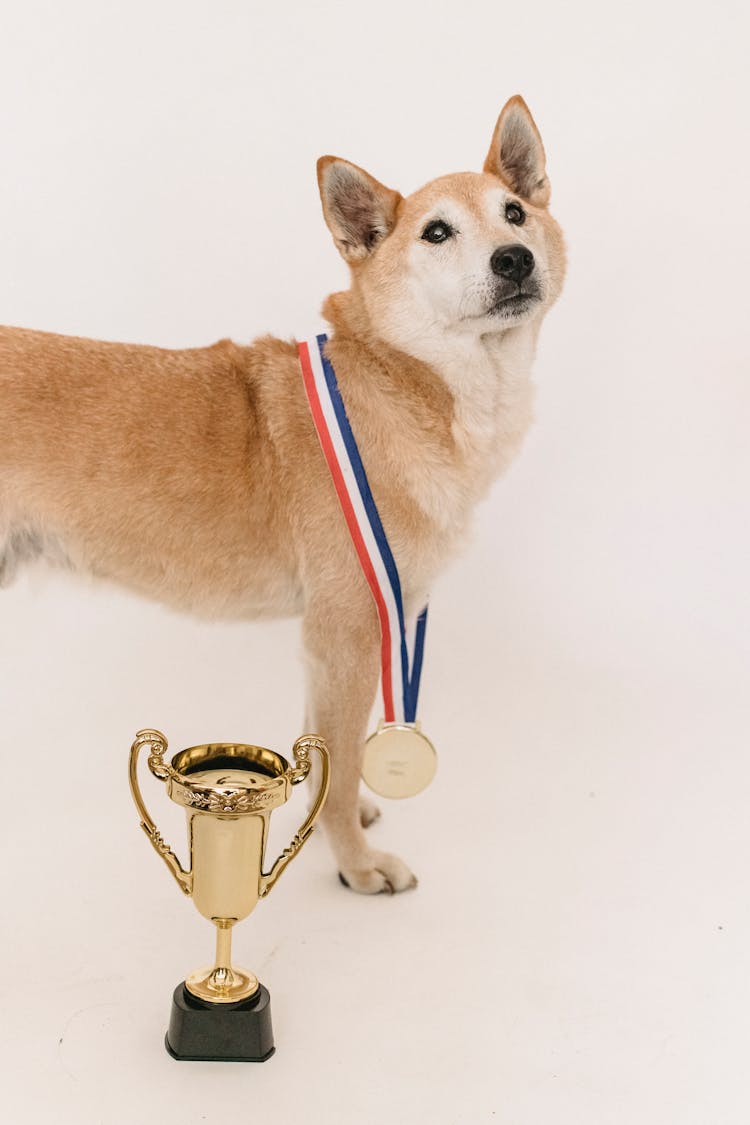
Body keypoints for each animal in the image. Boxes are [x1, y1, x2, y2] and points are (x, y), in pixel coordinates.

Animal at [0, 96, 562, 891]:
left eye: (514, 212)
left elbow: (325, 752)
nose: (513, 257)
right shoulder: (349, 633)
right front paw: (355, 864)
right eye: (437, 231)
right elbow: (346, 753)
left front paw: (334, 823)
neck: (399, 382)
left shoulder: (334, 642)